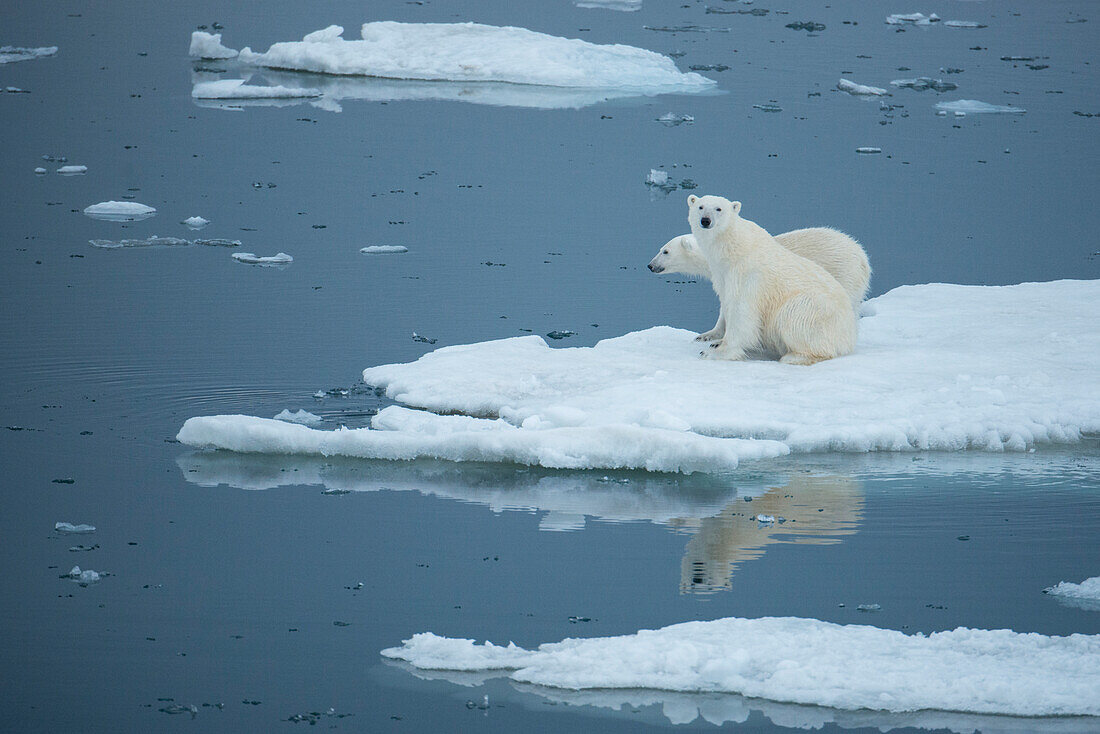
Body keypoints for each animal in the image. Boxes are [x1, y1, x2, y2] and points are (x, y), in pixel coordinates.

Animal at [686, 194, 858, 365]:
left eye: (718, 209)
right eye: (700, 207)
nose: (705, 220)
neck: (733, 248)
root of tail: (849, 336)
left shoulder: (748, 275)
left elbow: (741, 311)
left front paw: (714, 352)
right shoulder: (722, 275)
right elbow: (725, 303)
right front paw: (712, 339)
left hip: (815, 311)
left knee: (793, 316)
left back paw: (794, 356)